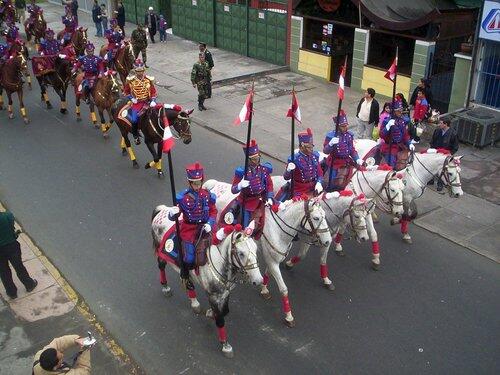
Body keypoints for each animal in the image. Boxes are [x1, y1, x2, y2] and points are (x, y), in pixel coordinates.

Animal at [151, 206, 262, 358]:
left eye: (256, 249)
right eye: (241, 253)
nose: (258, 280)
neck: (219, 260)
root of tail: (163, 209)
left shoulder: (226, 292)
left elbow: (225, 311)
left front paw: (211, 313)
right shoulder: (213, 295)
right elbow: (220, 319)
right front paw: (225, 345)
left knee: (187, 279)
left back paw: (194, 302)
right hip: (161, 254)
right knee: (161, 266)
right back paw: (166, 287)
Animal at [203, 181, 332, 328]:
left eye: (324, 215)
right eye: (316, 218)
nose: (328, 240)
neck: (278, 228)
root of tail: (213, 184)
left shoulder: (272, 259)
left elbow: (267, 273)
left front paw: (264, 288)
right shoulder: (273, 262)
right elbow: (283, 289)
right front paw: (288, 316)